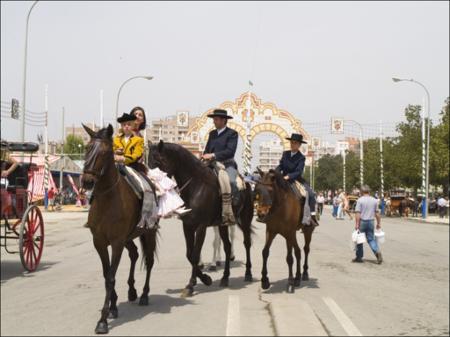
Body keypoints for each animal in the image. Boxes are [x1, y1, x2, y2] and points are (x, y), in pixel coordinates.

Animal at [81, 124, 159, 334]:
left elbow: (110, 277)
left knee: (149, 261)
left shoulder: (116, 243)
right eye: (87, 148)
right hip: (128, 238)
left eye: (105, 152)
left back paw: (144, 295)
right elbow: (106, 273)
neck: (107, 199)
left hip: (148, 233)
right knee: (134, 253)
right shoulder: (100, 242)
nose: (87, 182)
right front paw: (113, 307)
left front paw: (102, 320)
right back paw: (132, 291)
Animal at [148, 140, 253, 296]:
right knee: (227, 247)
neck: (196, 186)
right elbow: (189, 254)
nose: (151, 188)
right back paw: (225, 277)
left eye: (157, 162)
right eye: (147, 162)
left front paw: (191, 285)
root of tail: (246, 183)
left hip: (245, 220)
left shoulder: (201, 226)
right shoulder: (187, 226)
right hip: (222, 224)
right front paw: (205, 279)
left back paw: (248, 274)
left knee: (247, 244)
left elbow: (195, 255)